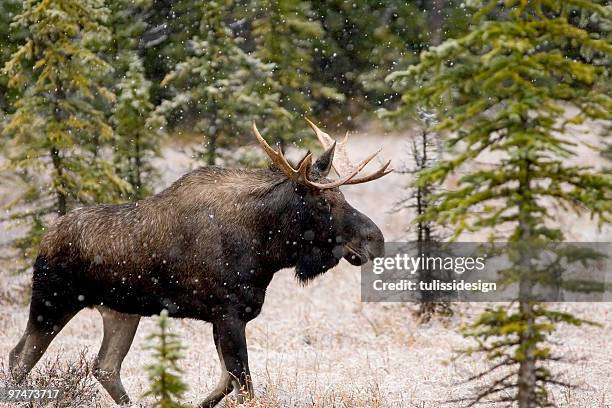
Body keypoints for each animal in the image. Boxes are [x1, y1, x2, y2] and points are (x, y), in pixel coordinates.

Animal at [8, 119, 392, 406]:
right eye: (324, 201)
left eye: (342, 195)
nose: (375, 240)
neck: (266, 251)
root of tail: (44, 238)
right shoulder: (227, 312)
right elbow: (244, 387)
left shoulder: (225, 317)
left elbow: (226, 382)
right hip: (51, 302)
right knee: (19, 357)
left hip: (121, 312)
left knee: (105, 366)